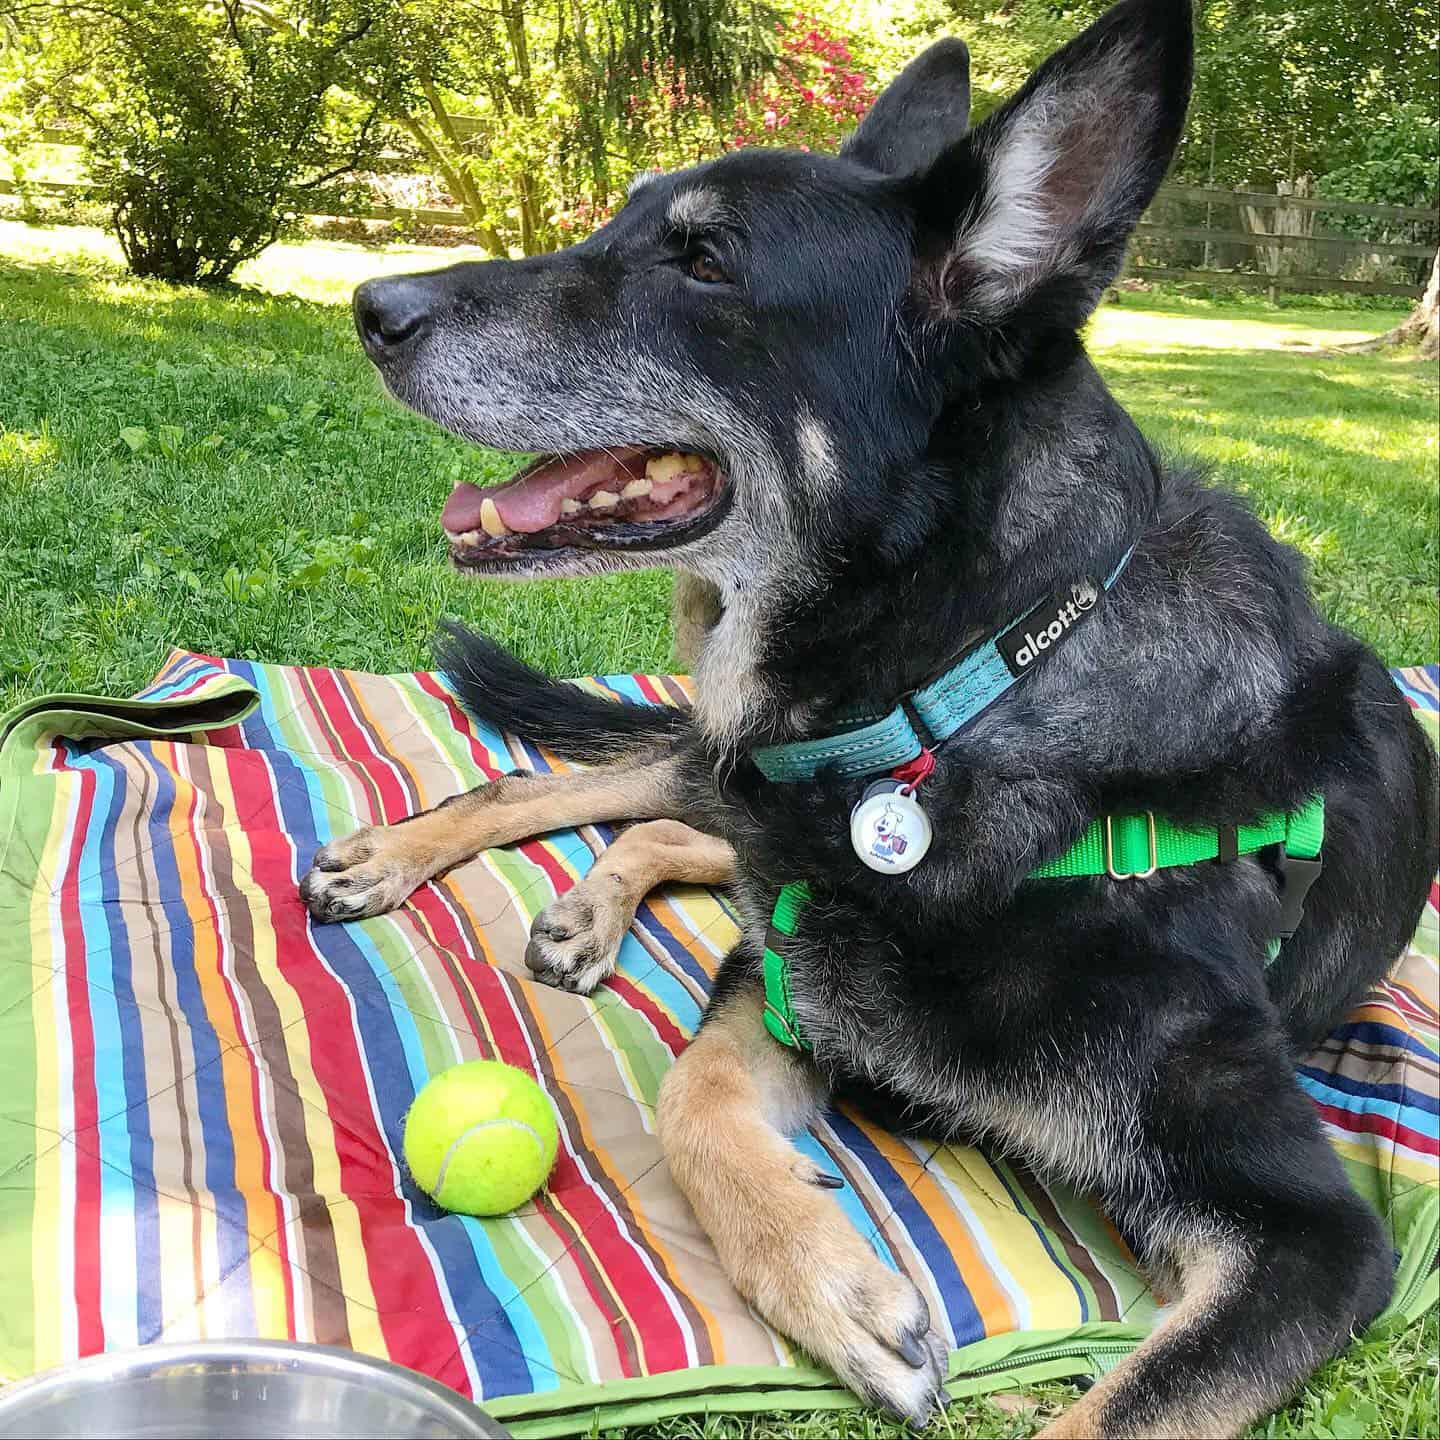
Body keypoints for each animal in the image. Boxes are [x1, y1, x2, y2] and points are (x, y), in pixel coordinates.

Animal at [298, 5, 1434, 1434]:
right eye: (625, 220)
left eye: (706, 261)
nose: (370, 308)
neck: (969, 683)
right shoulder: (783, 973)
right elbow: (689, 1094)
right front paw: (838, 1282)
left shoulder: (1309, 1236)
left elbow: (1108, 1411)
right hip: (737, 801)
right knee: (612, 791)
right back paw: (423, 863)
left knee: (676, 826)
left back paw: (582, 907)